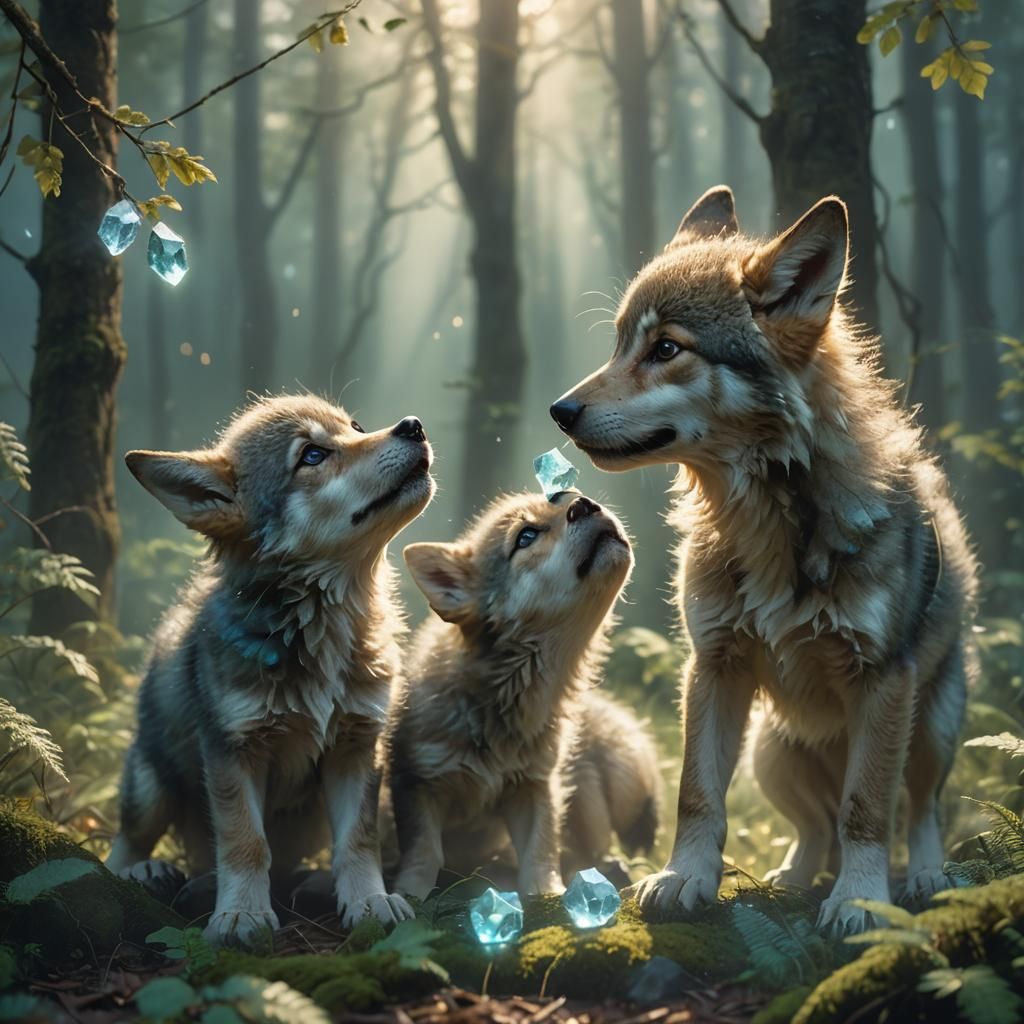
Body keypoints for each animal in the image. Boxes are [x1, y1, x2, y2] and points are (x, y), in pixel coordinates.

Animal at [106, 395, 434, 947]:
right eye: (312, 456)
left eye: (355, 427)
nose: (413, 425)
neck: (320, 627)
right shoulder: (233, 752)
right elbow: (245, 841)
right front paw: (240, 914)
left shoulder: (357, 746)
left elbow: (358, 841)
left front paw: (369, 902)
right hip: (149, 786)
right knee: (124, 845)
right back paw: (148, 874)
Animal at [386, 489, 644, 898]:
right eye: (525, 537)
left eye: (568, 497)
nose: (585, 504)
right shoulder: (418, 783)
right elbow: (424, 853)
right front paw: (408, 895)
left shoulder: (535, 786)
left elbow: (540, 853)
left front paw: (548, 895)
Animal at [549, 187, 978, 933]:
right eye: (619, 345)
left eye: (666, 349)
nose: (560, 410)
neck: (767, 521)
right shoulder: (713, 666)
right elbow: (697, 796)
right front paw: (684, 879)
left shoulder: (882, 679)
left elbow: (868, 808)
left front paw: (860, 900)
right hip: (770, 753)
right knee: (816, 828)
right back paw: (793, 878)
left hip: (932, 726)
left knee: (918, 808)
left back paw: (923, 877)